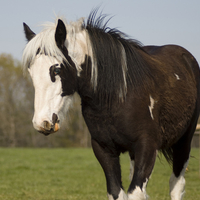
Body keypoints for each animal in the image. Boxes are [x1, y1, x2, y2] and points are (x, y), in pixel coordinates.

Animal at [21, 10, 200, 200]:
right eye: (31, 72)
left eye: (56, 69)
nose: (41, 122)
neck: (117, 97)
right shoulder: (104, 149)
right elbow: (116, 192)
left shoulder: (147, 147)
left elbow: (135, 192)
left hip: (184, 142)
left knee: (176, 185)